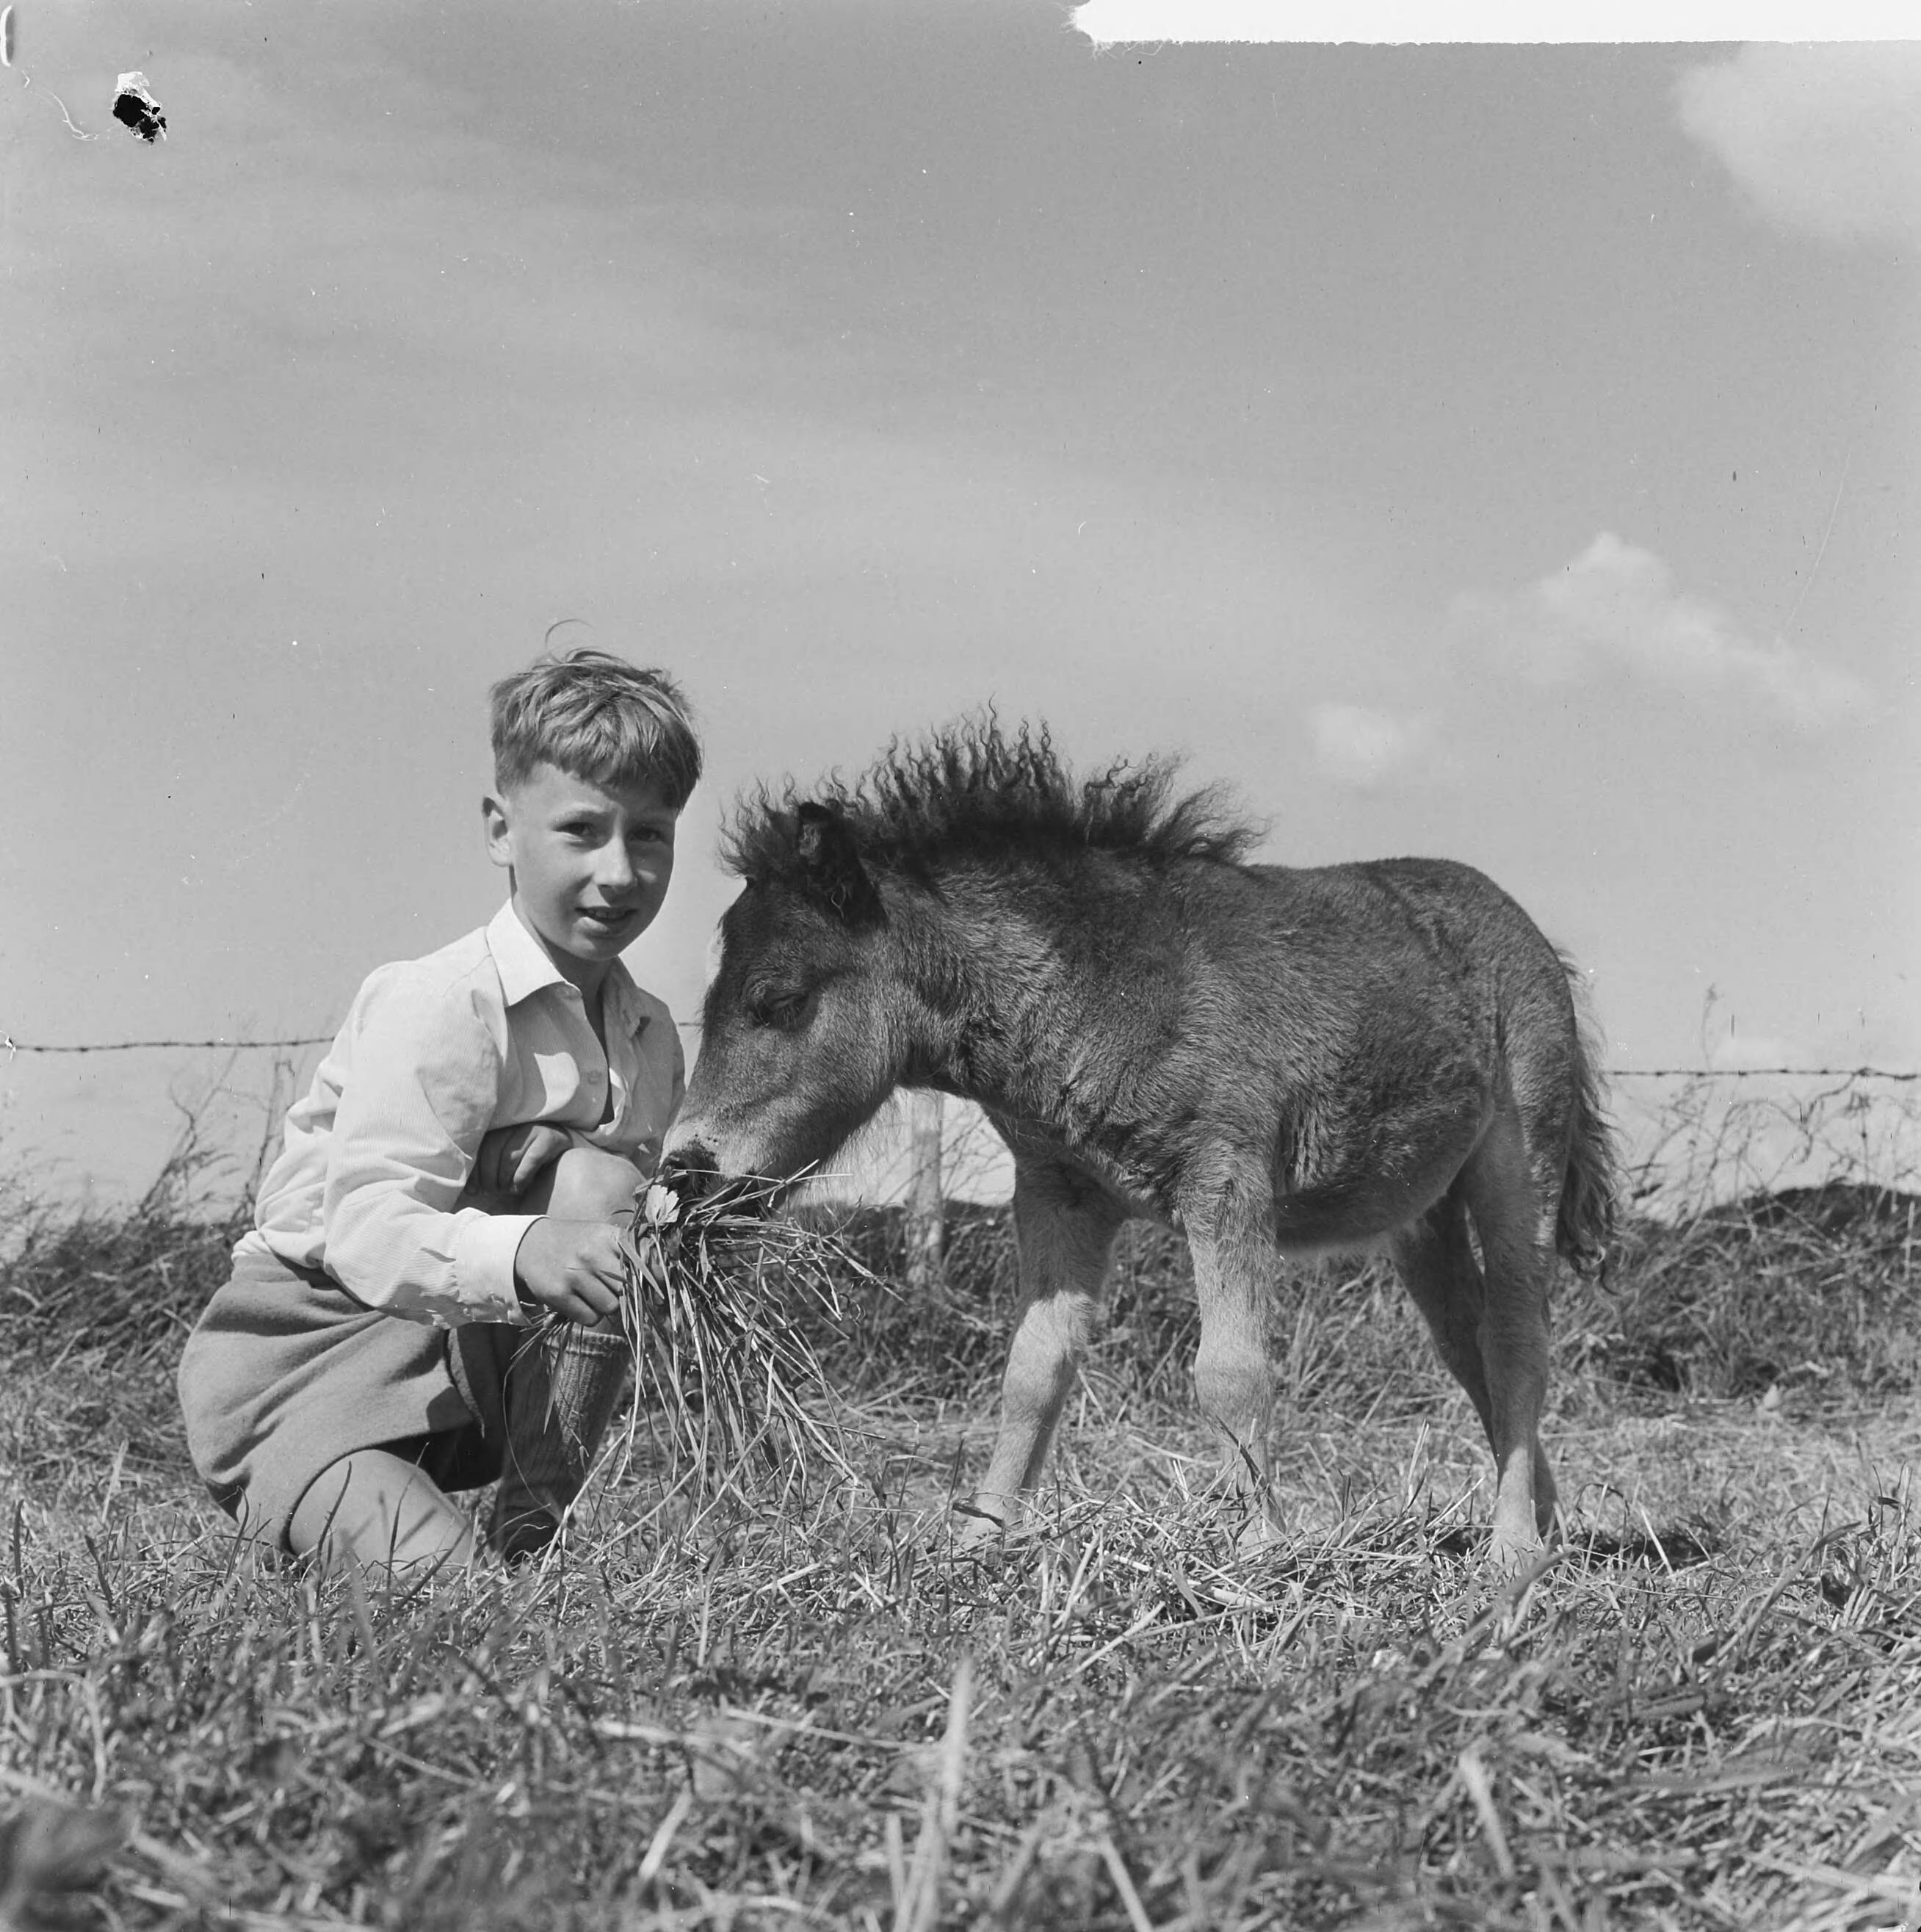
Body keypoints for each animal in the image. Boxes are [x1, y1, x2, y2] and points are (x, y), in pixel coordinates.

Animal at [664, 720, 1615, 1567]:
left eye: (779, 1000)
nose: (684, 1171)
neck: (1109, 990)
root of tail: (1534, 938)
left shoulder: (1227, 1185)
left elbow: (1231, 1372)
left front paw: (1263, 1550)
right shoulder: (1061, 1194)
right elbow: (1032, 1371)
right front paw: (978, 1541)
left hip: (1519, 1168)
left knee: (1514, 1339)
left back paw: (1513, 1549)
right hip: (1422, 1215)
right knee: (1466, 1343)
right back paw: (1545, 1517)